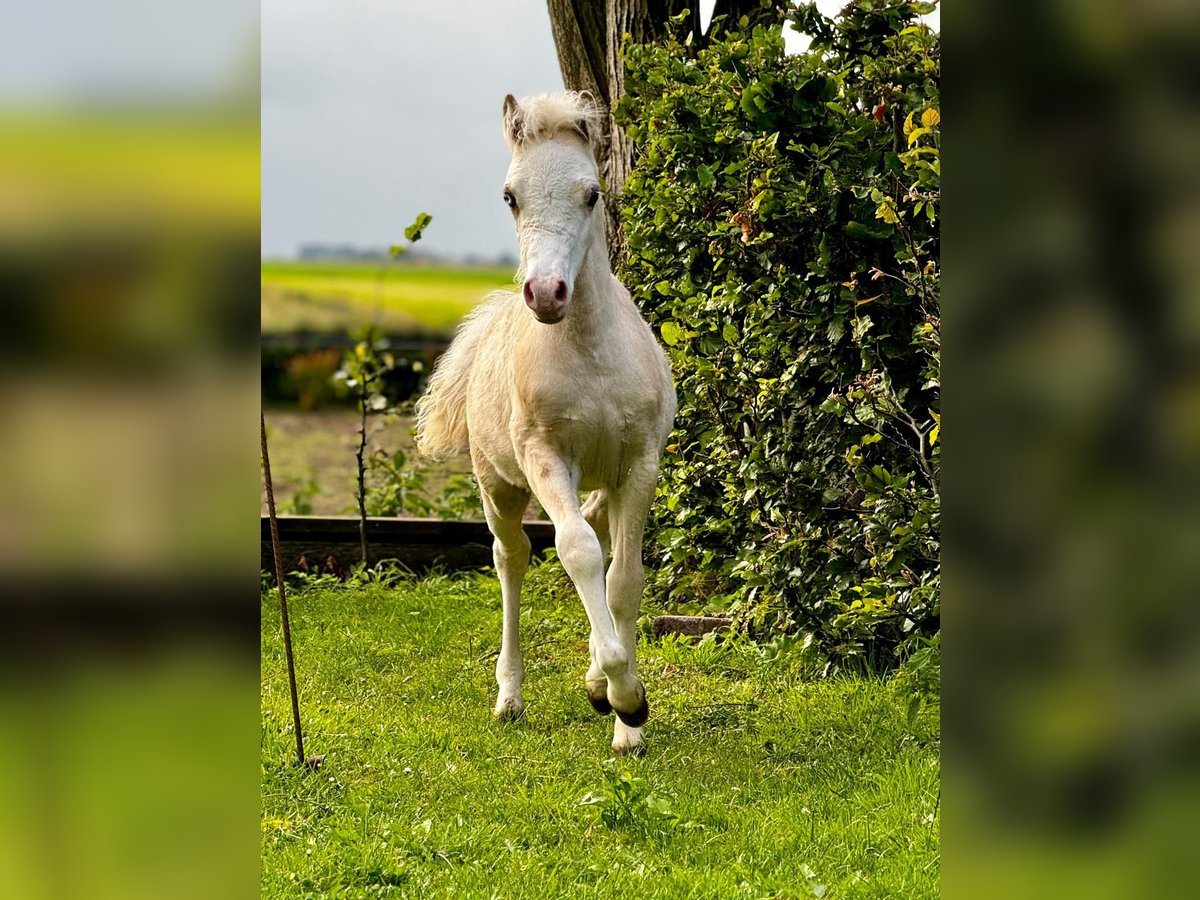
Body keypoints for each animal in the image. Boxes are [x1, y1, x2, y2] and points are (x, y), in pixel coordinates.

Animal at [415, 93, 676, 753]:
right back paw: (509, 697)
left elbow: (624, 578)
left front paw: (623, 719)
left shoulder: (639, 462)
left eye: (592, 194)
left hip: (601, 478)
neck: (590, 354)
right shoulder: (546, 459)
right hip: (499, 485)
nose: (547, 293)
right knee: (512, 556)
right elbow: (576, 551)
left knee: (594, 526)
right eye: (510, 195)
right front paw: (626, 697)